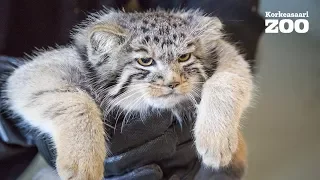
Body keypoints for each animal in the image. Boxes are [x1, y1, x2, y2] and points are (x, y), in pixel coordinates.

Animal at [3, 8, 252, 180]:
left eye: (184, 57)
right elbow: (78, 101)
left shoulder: (228, 54)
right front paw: (83, 161)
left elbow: (227, 80)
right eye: (145, 61)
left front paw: (216, 139)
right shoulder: (27, 75)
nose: (173, 82)